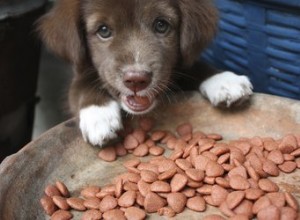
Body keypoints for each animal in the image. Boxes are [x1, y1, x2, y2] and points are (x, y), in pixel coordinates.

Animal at [37, 0, 253, 147]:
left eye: (161, 25)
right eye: (103, 30)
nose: (136, 80)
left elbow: (192, 66)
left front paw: (224, 81)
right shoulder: (80, 72)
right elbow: (81, 85)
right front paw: (99, 116)